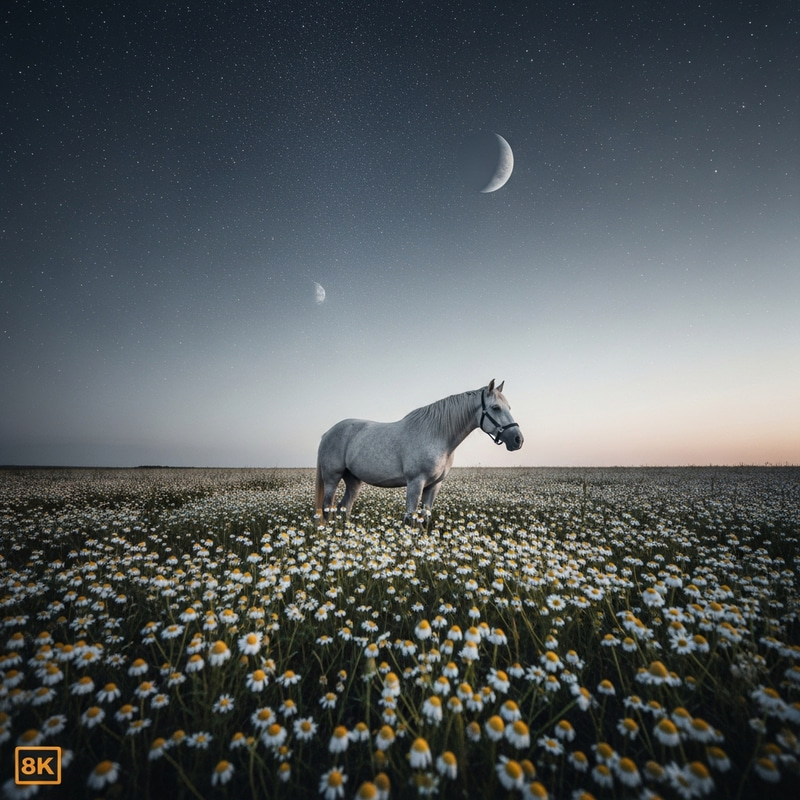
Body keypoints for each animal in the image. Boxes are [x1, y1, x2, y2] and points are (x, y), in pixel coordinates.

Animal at [315, 379, 523, 525]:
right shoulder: (416, 483)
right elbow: (411, 518)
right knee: (328, 507)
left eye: (509, 407)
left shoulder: (434, 486)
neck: (437, 435)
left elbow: (425, 517)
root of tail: (327, 433)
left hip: (353, 480)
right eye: (495, 408)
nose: (518, 440)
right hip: (333, 477)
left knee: (344, 508)